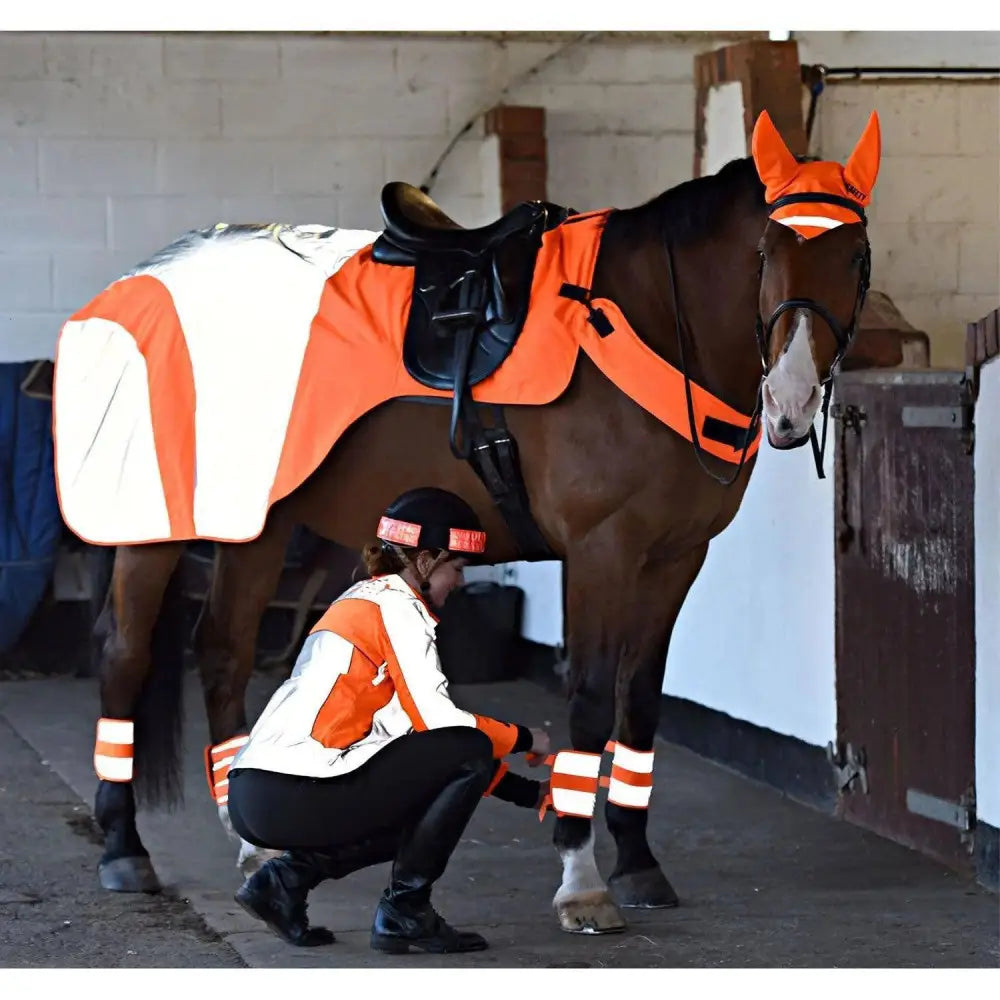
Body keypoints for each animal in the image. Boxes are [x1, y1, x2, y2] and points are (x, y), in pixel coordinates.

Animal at [74, 111, 880, 936]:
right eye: (767, 251)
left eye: (855, 255)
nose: (790, 402)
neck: (649, 318)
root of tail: (139, 280)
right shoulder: (602, 551)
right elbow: (592, 697)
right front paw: (581, 881)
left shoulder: (675, 556)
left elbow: (640, 700)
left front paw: (638, 863)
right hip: (154, 526)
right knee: (126, 655)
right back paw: (124, 848)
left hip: (256, 525)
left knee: (224, 653)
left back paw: (253, 843)